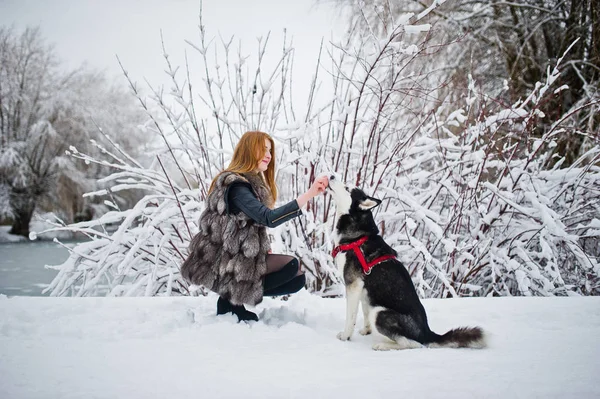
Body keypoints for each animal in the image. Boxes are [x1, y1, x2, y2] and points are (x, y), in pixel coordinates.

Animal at [326, 177, 486, 352]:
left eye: (347, 188)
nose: (331, 177)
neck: (358, 237)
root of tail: (427, 333)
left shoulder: (353, 285)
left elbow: (351, 317)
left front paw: (345, 337)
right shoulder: (364, 290)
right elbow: (364, 310)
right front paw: (366, 331)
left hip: (380, 313)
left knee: (413, 344)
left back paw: (382, 345)